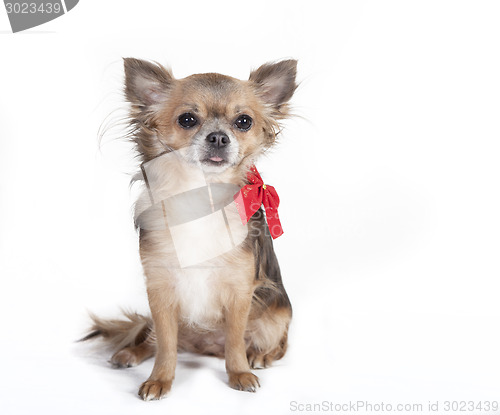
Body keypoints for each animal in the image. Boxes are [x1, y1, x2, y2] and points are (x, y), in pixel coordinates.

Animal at [85, 58, 296, 400]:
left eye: (244, 122)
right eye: (187, 119)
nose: (219, 137)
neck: (200, 194)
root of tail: (204, 347)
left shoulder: (239, 291)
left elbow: (235, 341)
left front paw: (239, 373)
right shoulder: (160, 291)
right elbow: (165, 345)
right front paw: (159, 379)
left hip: (277, 315)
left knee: (277, 345)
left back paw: (260, 356)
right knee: (155, 339)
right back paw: (129, 353)